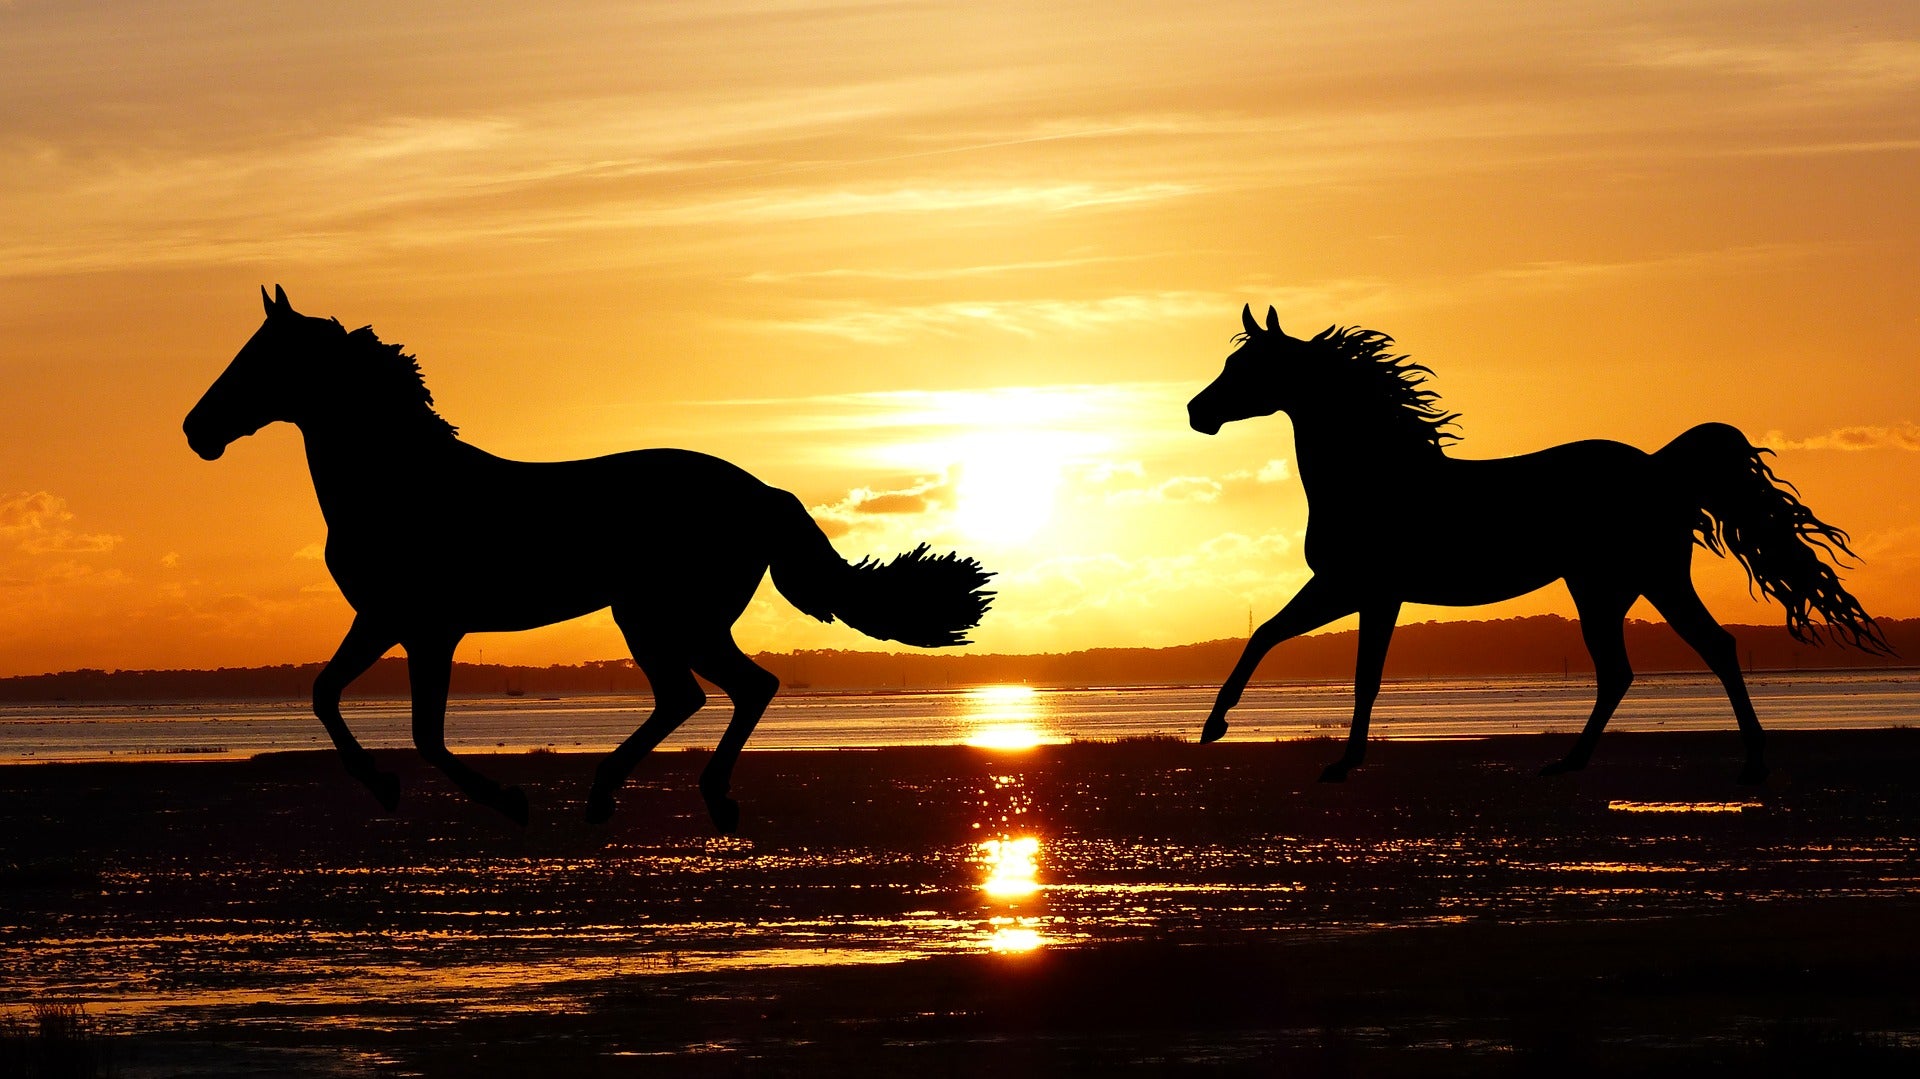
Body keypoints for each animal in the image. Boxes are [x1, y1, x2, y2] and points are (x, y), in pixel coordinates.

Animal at [183, 282, 990, 825]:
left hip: (665, 616)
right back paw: (651, 794)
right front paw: (386, 787)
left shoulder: (427, 629)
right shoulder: (385, 620)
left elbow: (424, 734)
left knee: (720, 690)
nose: (196, 430)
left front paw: (505, 800)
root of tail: (761, 491)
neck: (402, 482)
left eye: (258, 359)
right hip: (672, 619)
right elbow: (326, 693)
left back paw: (651, 795)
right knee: (714, 691)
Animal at [1190, 303, 1881, 779]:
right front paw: (1218, 727)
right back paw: (1576, 762)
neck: (1376, 475)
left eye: (1246, 366)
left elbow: (1355, 673)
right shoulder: (1348, 589)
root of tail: (1662, 467)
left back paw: (1749, 763)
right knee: (1636, 667)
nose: (1199, 413)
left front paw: (1323, 758)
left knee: (1698, 651)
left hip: (1641, 581)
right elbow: (1270, 636)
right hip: (1615, 588)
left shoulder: (1366, 590)